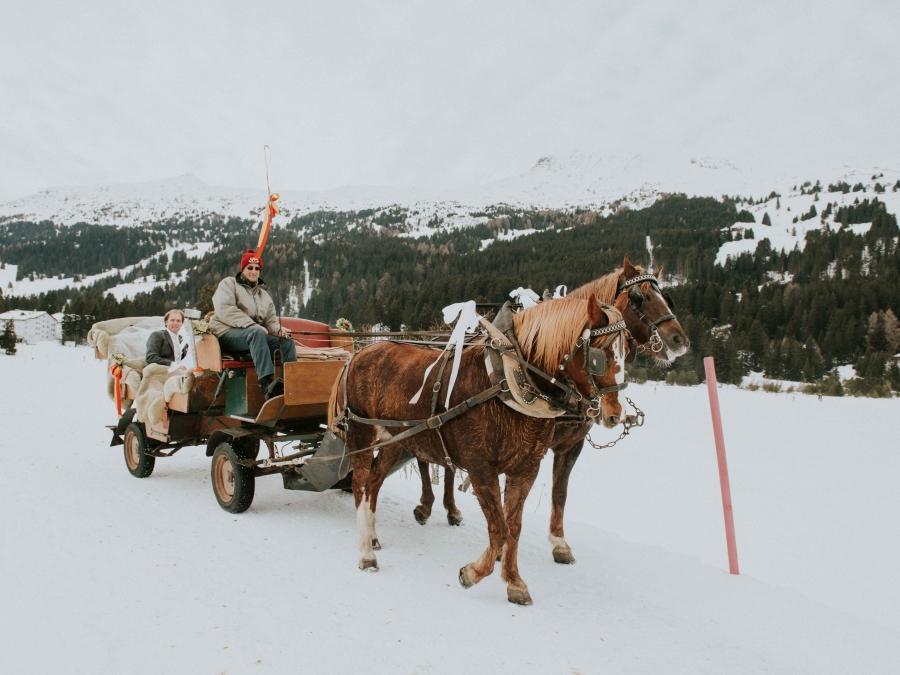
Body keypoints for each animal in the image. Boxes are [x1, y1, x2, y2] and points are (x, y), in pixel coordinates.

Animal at [326, 294, 628, 604]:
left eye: (627, 349)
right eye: (601, 356)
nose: (614, 413)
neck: (509, 379)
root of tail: (358, 355)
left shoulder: (526, 467)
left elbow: (514, 527)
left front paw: (514, 582)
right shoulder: (480, 466)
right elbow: (499, 528)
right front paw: (473, 572)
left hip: (394, 440)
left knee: (374, 483)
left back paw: (372, 535)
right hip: (362, 433)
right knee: (360, 484)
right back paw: (366, 552)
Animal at [414, 256, 688, 568]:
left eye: (667, 298)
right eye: (640, 298)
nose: (679, 340)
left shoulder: (570, 445)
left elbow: (560, 491)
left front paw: (559, 544)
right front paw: (502, 549)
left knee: (445, 462)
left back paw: (450, 509)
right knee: (425, 458)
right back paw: (427, 505)